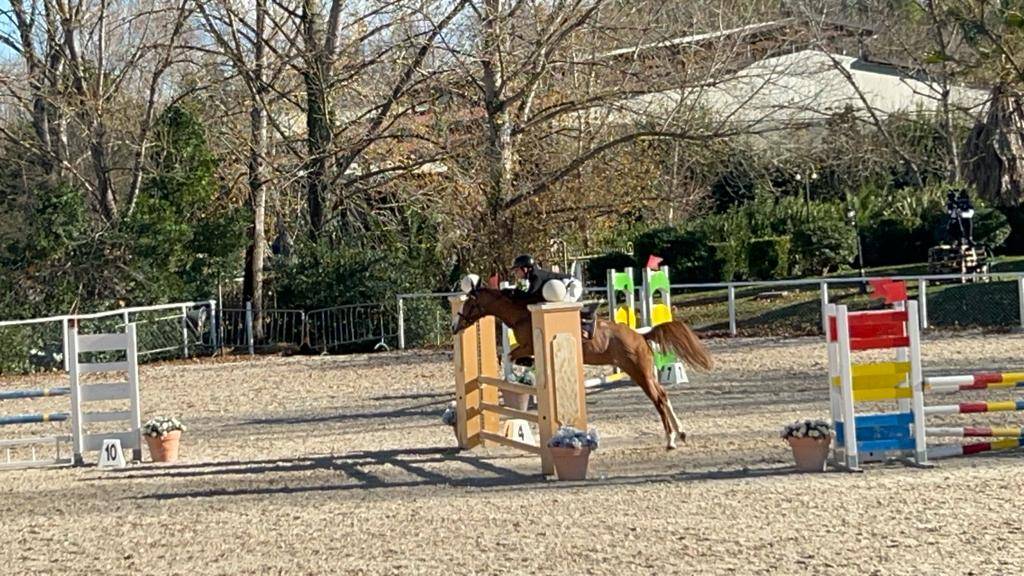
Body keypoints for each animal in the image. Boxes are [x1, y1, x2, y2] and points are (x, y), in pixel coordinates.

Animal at [451, 278, 713, 449]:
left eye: (469, 305)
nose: (455, 326)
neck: (521, 312)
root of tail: (641, 336)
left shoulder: (528, 345)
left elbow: (507, 357)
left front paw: (518, 372)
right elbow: (507, 357)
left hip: (638, 371)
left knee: (658, 399)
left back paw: (670, 440)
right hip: (644, 371)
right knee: (664, 396)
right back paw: (680, 433)